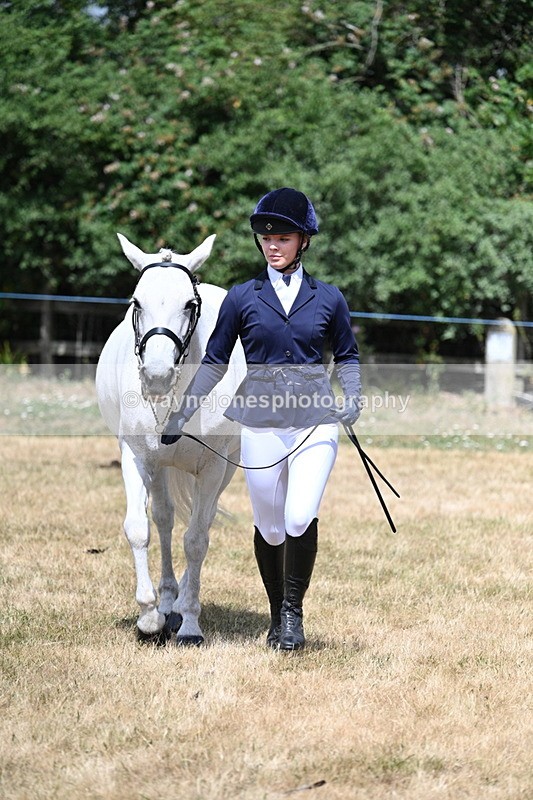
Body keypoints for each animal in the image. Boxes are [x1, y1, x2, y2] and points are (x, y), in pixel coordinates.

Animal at [95, 233, 246, 644]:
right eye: (136, 302)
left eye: (189, 305)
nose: (157, 375)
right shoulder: (135, 457)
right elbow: (139, 528)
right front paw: (148, 617)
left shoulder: (213, 467)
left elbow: (196, 540)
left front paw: (191, 623)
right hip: (159, 467)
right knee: (164, 520)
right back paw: (166, 603)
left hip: (224, 470)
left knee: (201, 523)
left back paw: (179, 606)